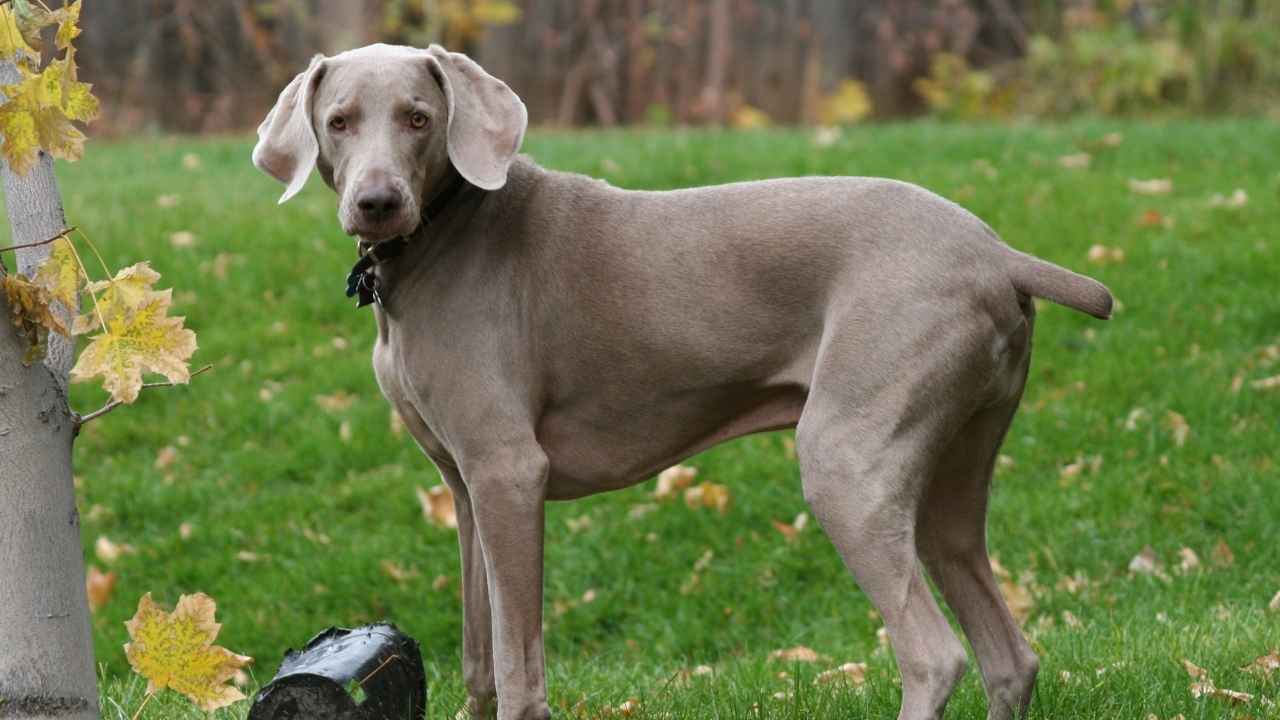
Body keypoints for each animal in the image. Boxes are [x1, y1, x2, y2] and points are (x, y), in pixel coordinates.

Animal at [249, 43, 1111, 717]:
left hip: (850, 460)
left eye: (419, 118)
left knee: (935, 655)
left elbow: (519, 663)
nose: (377, 203)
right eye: (340, 121)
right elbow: (477, 651)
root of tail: (996, 252)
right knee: (1008, 655)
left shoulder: (508, 474)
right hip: (948, 475)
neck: (437, 237)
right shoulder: (464, 488)